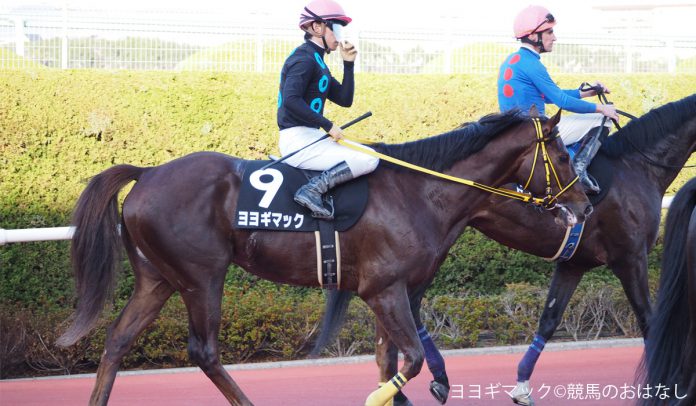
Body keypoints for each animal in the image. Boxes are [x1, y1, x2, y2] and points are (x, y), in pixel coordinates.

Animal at [54, 109, 588, 404]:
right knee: (203, 352)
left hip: (158, 279)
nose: (586, 202)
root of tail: (146, 174)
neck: (419, 189)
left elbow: (389, 360)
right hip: (201, 277)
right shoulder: (385, 290)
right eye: (564, 155)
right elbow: (410, 361)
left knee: (117, 343)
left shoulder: (390, 294)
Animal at [318, 93, 696, 406]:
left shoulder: (574, 264)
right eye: (562, 157)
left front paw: (522, 386)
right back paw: (428, 381)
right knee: (409, 306)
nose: (584, 205)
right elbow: (650, 322)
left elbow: (549, 320)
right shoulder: (630, 258)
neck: (636, 165)